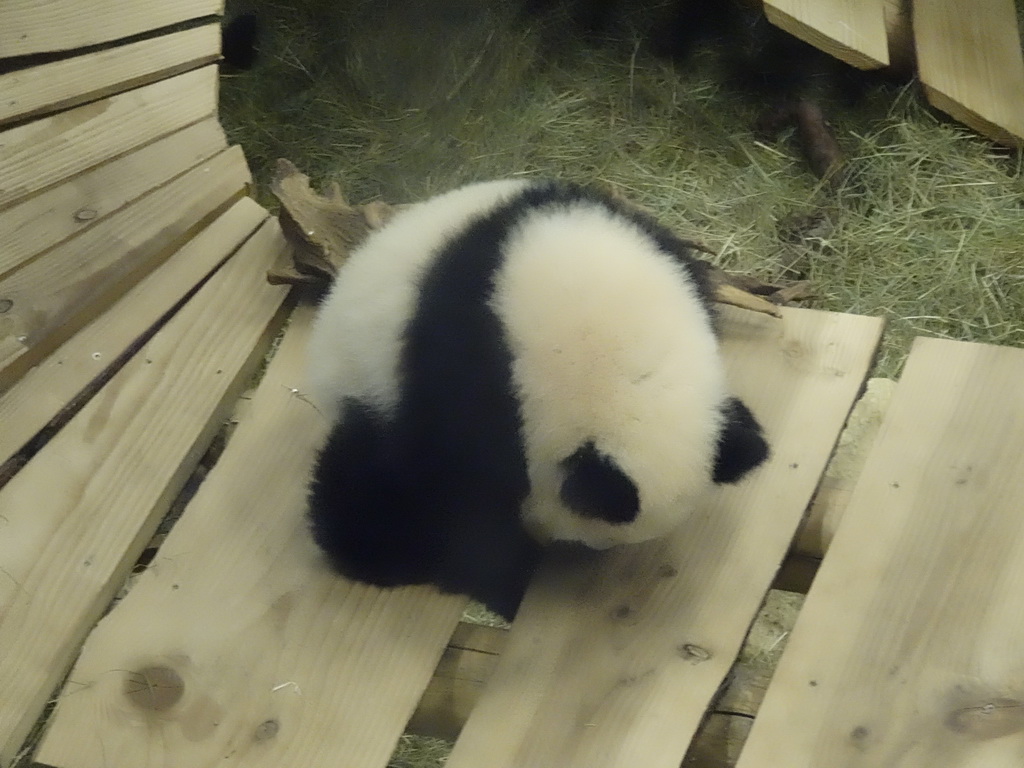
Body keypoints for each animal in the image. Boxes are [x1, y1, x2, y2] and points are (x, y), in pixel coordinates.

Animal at [303, 180, 770, 618]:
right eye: (588, 536)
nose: (556, 543)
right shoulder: (468, 370)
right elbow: (466, 493)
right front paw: (503, 582)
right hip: (367, 381)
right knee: (367, 475)